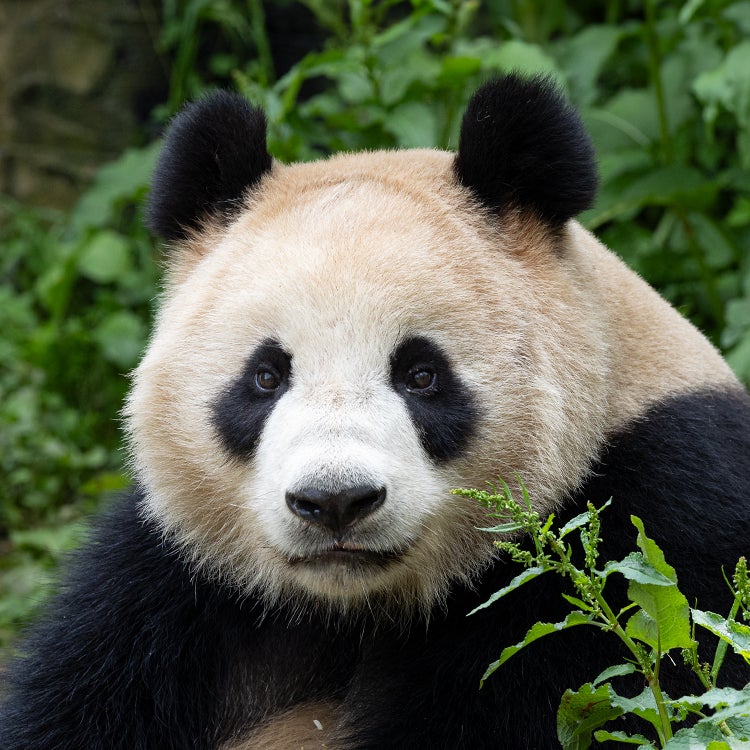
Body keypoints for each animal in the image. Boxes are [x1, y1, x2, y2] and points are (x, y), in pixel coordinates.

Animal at [1, 74, 749, 749]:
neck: (350, 610)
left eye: (421, 375)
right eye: (265, 377)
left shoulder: (651, 522)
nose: (334, 501)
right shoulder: (169, 586)